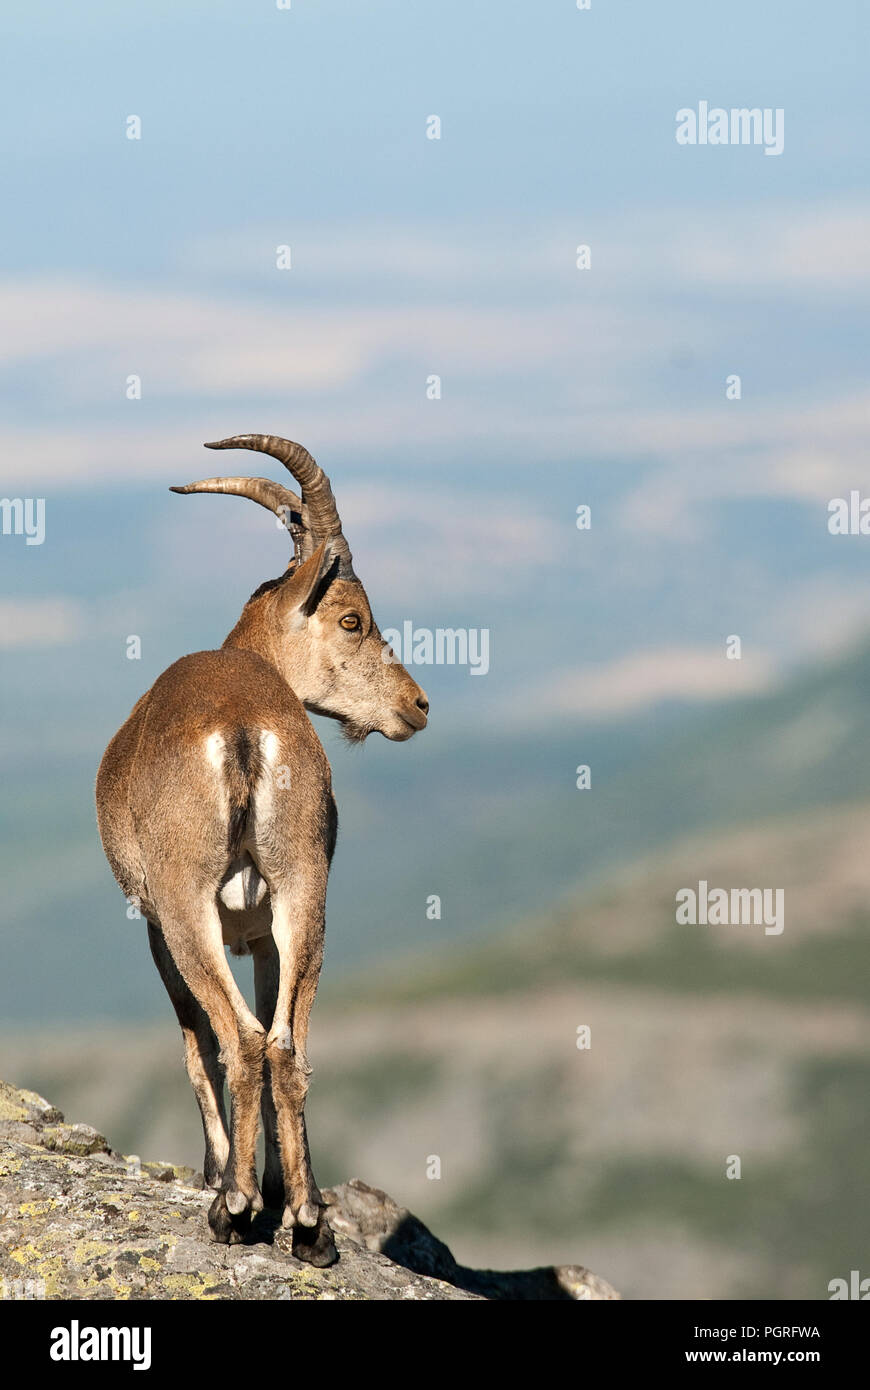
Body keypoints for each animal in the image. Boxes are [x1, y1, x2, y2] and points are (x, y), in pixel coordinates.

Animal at [96, 434, 429, 1264]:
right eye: (353, 619)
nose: (417, 705)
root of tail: (244, 726)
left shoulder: (157, 925)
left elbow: (195, 1044)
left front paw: (224, 1178)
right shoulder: (264, 932)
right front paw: (286, 1199)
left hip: (188, 905)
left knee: (242, 1041)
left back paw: (234, 1208)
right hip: (305, 889)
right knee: (286, 1047)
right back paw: (308, 1226)